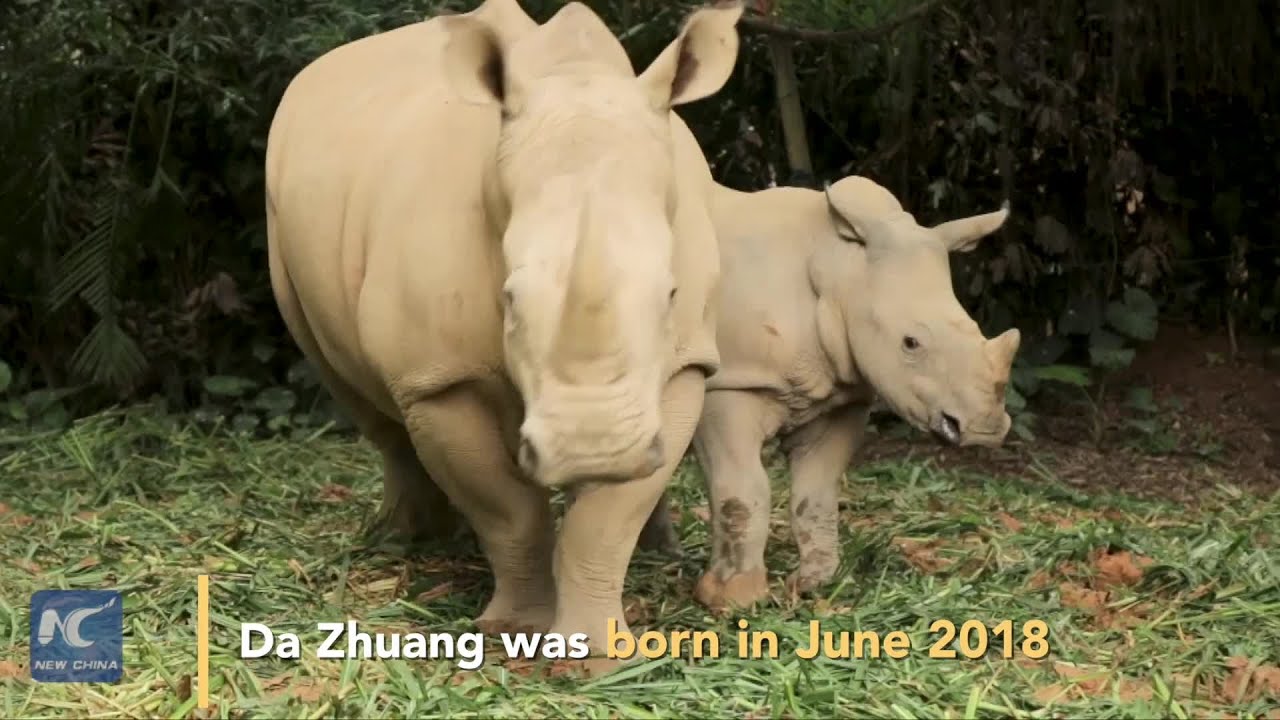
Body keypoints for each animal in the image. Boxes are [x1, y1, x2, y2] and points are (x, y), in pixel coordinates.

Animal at [265, 0, 744, 660]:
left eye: (670, 294)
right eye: (509, 300)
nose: (594, 448)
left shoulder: (685, 363)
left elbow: (606, 519)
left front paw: (593, 655)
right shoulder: (439, 377)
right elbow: (509, 510)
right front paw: (511, 633)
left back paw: (658, 549)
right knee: (352, 389)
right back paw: (404, 540)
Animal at [682, 175, 1020, 611]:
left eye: (977, 327)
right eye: (910, 343)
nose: (984, 431)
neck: (838, 268)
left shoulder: (840, 396)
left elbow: (816, 492)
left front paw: (813, 584)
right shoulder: (730, 382)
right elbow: (742, 491)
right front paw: (731, 600)